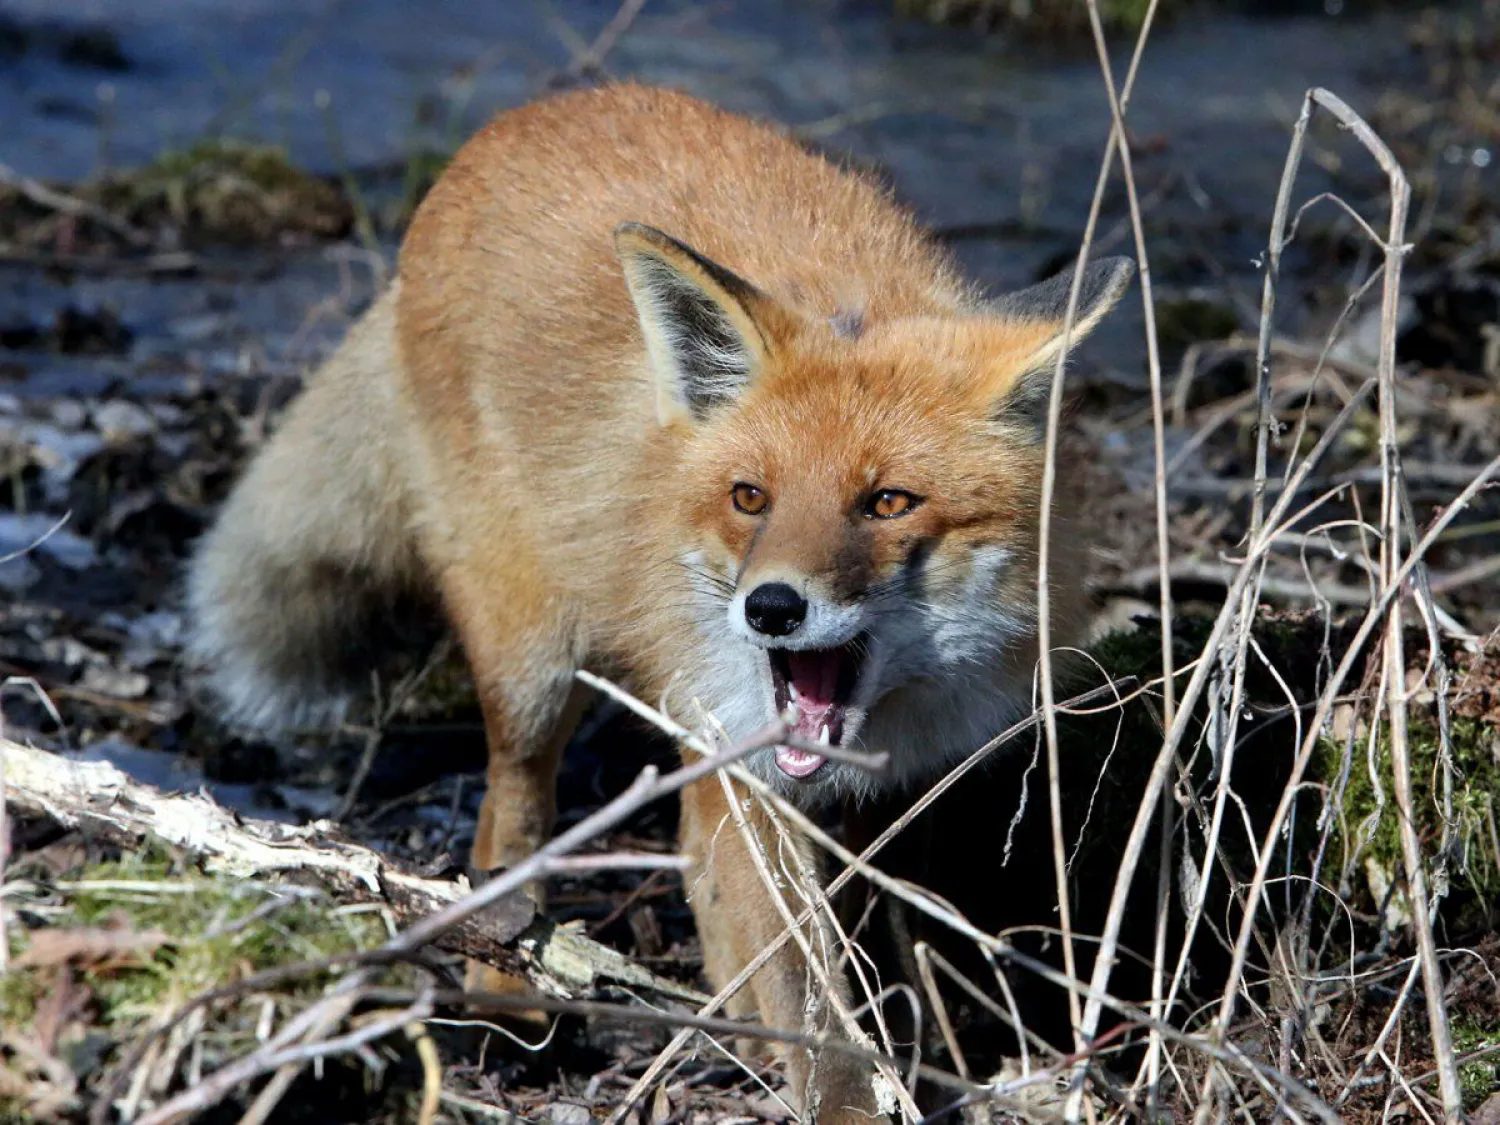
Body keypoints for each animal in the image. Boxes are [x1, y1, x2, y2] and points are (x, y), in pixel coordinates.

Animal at [184, 83, 1132, 1123]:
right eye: (750, 497)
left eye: (888, 502)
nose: (771, 608)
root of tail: (523, 120)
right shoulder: (742, 769)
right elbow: (808, 988)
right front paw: (842, 1089)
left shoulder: (902, 786)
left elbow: (893, 941)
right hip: (535, 668)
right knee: (508, 826)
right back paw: (511, 999)